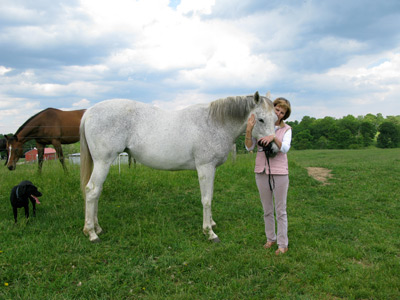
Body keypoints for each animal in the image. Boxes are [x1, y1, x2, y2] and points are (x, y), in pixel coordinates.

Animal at [79, 91, 276, 241]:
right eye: (260, 119)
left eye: (276, 118)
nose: (272, 148)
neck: (214, 123)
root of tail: (89, 112)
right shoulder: (205, 167)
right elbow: (206, 199)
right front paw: (209, 232)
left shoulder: (211, 169)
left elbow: (210, 195)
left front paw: (211, 223)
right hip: (103, 162)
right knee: (92, 191)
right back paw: (91, 233)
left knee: (96, 192)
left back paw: (96, 227)